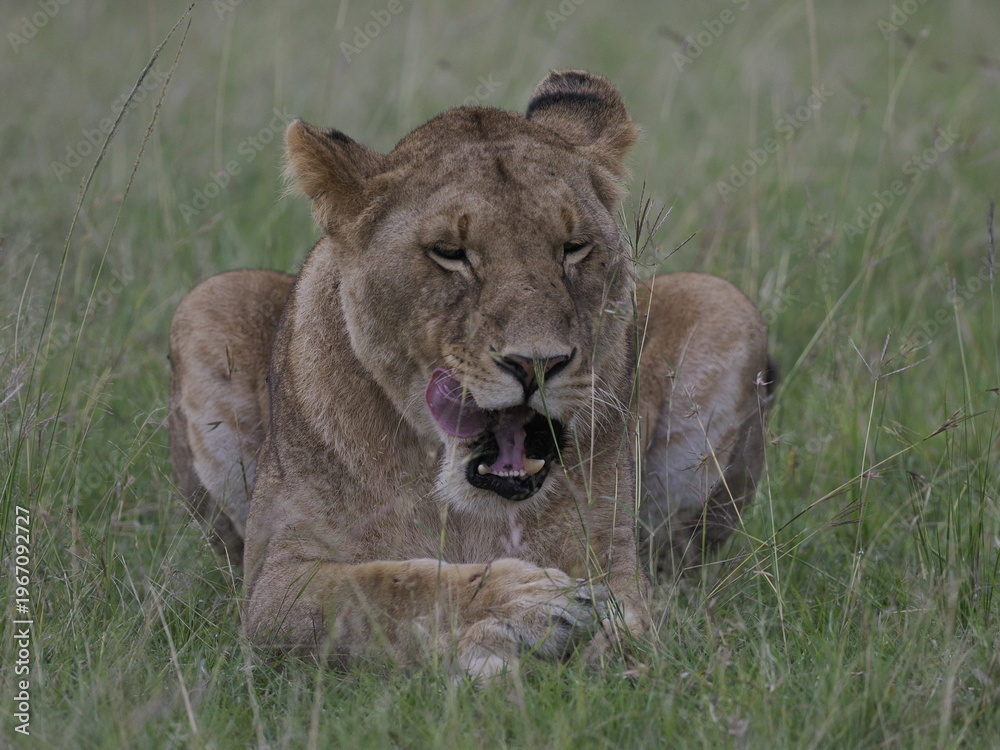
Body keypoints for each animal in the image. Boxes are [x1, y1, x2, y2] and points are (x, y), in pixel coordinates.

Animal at [168, 70, 773, 680]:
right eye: (450, 253)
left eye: (574, 248)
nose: (537, 363)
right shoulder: (272, 585)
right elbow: (385, 589)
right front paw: (523, 609)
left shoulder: (613, 559)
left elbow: (629, 623)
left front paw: (603, 652)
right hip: (211, 300)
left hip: (722, 305)